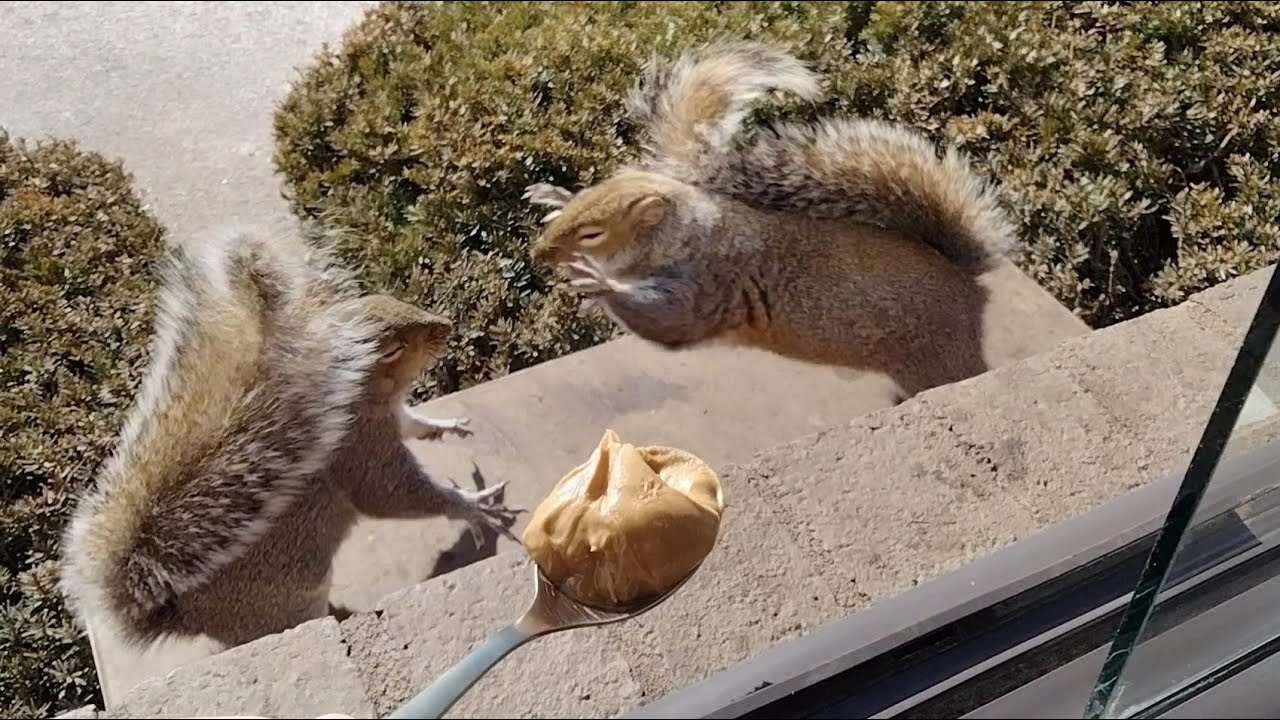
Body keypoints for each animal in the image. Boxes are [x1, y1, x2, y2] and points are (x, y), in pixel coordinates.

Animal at [59, 225, 520, 651]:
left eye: (384, 299)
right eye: (390, 350)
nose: (446, 325)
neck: (356, 393)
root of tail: (187, 620)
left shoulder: (386, 419)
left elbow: (413, 423)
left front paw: (444, 426)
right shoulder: (359, 448)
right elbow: (393, 495)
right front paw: (473, 508)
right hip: (293, 603)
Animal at [524, 40, 1019, 398]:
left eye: (593, 233)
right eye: (585, 198)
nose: (539, 253)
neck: (689, 236)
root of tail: (969, 286)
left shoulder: (711, 285)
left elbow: (668, 323)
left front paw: (597, 281)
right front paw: (553, 195)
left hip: (935, 358)